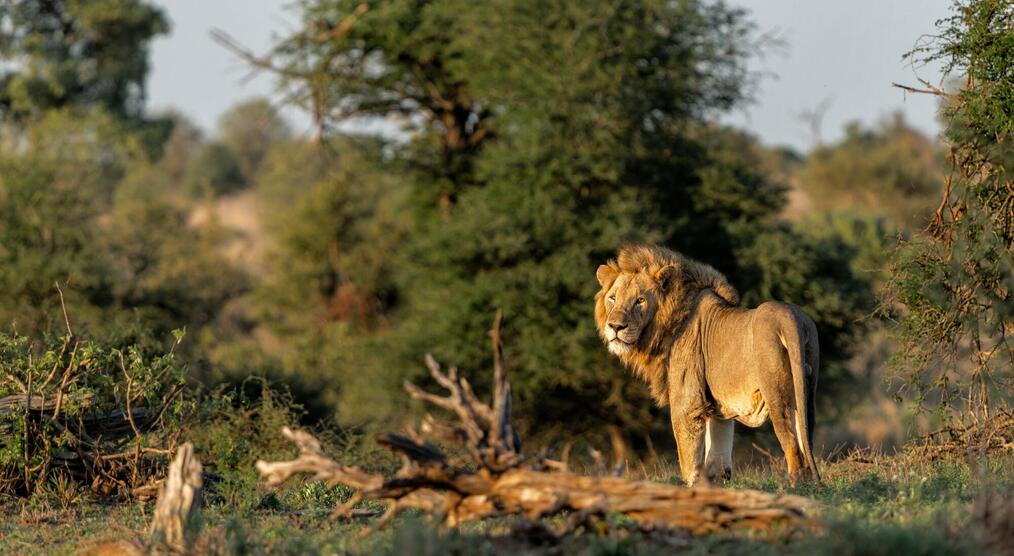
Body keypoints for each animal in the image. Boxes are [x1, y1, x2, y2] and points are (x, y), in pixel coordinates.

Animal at [594, 244, 820, 486]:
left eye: (640, 300)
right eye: (613, 298)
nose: (616, 326)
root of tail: (791, 315)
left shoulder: (688, 402)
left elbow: (688, 459)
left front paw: (691, 489)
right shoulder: (718, 410)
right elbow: (718, 460)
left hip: (777, 392)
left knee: (791, 442)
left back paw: (795, 485)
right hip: (806, 390)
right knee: (805, 434)